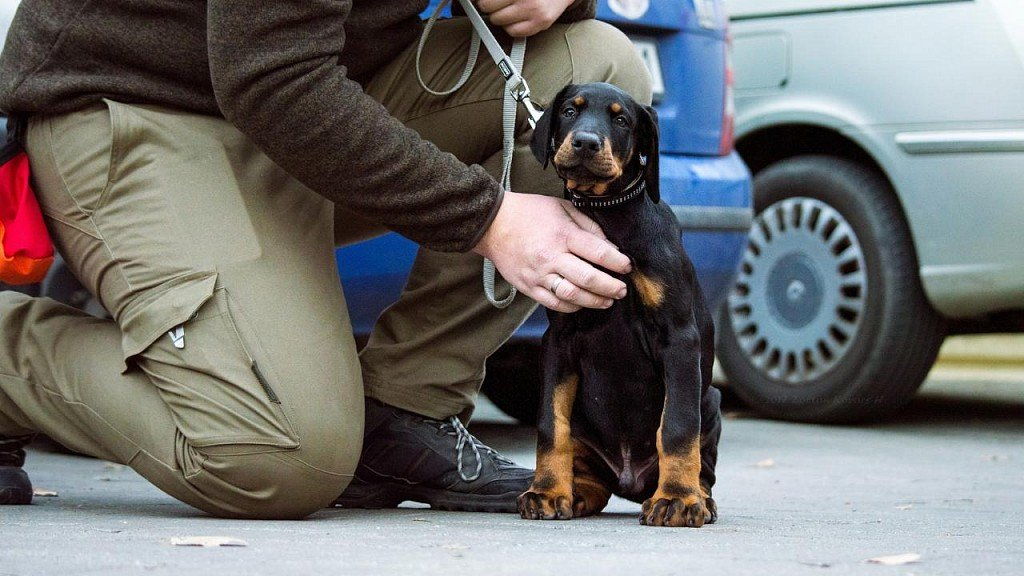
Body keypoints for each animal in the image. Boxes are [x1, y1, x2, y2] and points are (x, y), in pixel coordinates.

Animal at [516, 81, 724, 524]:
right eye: (570, 112)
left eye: (622, 120)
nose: (585, 142)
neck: (606, 218)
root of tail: (629, 478)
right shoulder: (559, 340)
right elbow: (551, 425)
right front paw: (546, 491)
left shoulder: (679, 338)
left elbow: (677, 426)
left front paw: (678, 499)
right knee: (591, 472)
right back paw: (576, 492)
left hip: (711, 401)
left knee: (703, 460)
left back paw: (695, 497)